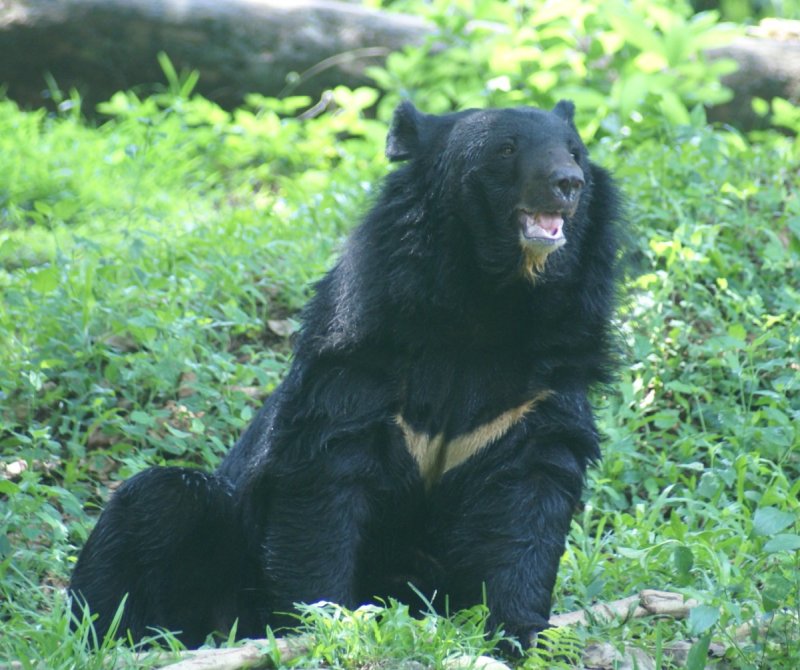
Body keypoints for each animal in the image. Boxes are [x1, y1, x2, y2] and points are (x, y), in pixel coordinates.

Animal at [69, 100, 620, 652]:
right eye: (506, 150)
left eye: (575, 153)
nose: (567, 183)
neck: (492, 300)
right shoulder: (362, 355)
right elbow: (324, 484)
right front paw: (325, 624)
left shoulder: (539, 390)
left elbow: (530, 498)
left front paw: (522, 633)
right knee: (156, 501)